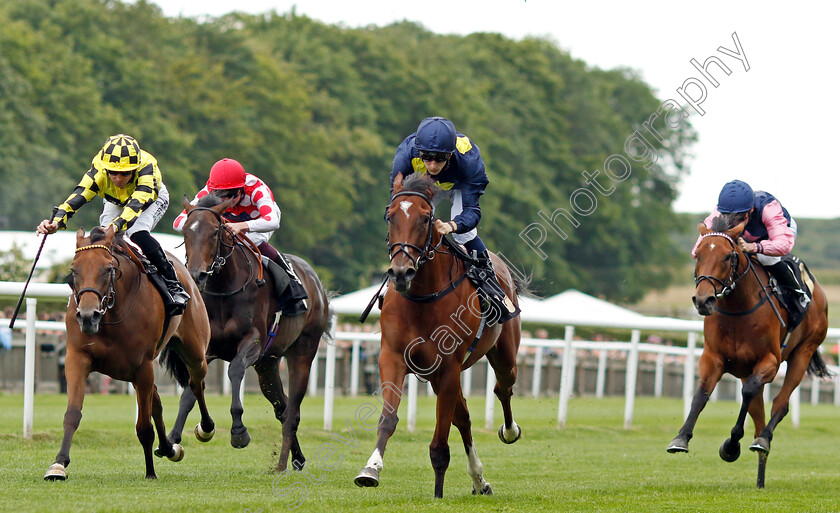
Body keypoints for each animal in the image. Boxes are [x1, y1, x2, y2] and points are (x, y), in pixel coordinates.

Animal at [44, 227, 215, 480]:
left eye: (108, 269)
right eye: (73, 270)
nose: (87, 316)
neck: (111, 314)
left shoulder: (142, 368)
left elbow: (143, 426)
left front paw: (150, 472)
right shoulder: (77, 359)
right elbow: (72, 414)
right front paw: (58, 464)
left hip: (194, 351)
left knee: (196, 383)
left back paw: (205, 428)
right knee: (157, 400)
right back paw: (168, 448)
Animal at [169, 194, 330, 470]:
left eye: (215, 232)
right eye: (186, 233)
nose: (197, 275)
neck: (224, 289)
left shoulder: (252, 342)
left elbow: (234, 370)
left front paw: (238, 431)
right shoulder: (206, 349)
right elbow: (192, 386)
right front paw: (176, 436)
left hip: (303, 351)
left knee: (293, 410)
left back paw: (282, 464)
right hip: (268, 363)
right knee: (282, 407)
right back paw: (297, 458)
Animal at [354, 172, 524, 496]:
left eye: (425, 218)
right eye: (390, 216)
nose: (401, 272)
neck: (422, 297)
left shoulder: (448, 367)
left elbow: (440, 440)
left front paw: (438, 492)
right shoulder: (393, 357)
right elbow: (388, 418)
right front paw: (370, 469)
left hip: (503, 354)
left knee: (503, 388)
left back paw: (509, 431)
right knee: (464, 418)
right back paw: (479, 480)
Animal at [668, 218, 832, 486]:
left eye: (727, 256)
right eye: (697, 254)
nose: (703, 301)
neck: (737, 308)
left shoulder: (770, 361)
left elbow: (748, 391)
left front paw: (731, 445)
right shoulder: (712, 358)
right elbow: (701, 394)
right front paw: (681, 438)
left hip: (803, 352)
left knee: (779, 404)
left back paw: (763, 440)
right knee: (759, 415)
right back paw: (760, 477)